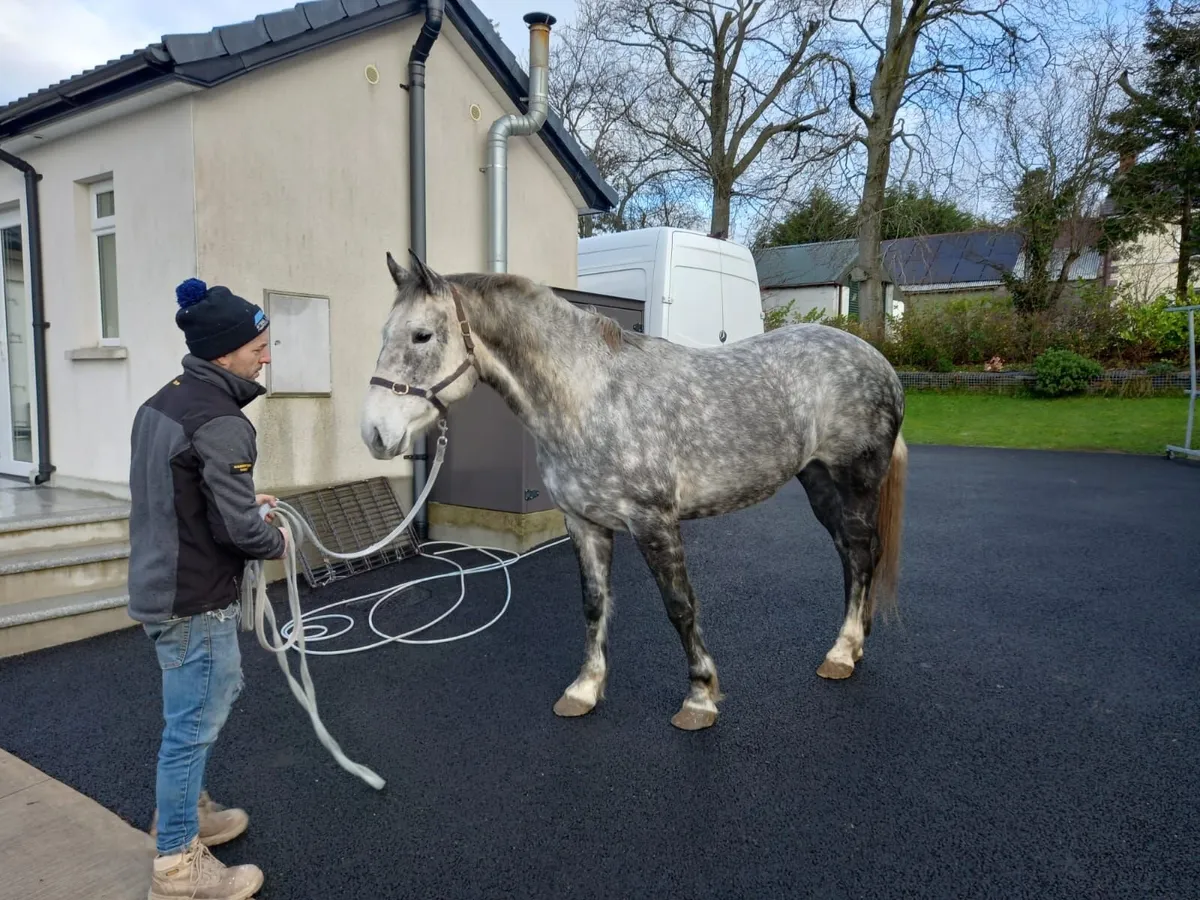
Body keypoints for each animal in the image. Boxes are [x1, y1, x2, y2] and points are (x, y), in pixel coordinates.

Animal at [360, 251, 908, 731]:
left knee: (863, 552)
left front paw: (699, 698)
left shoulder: (654, 522)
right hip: (818, 481)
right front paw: (584, 690)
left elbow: (680, 606)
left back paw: (842, 653)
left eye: (422, 335)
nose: (375, 434)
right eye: (382, 334)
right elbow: (594, 603)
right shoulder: (584, 523)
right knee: (850, 553)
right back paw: (852, 644)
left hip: (856, 482)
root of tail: (879, 361)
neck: (590, 398)